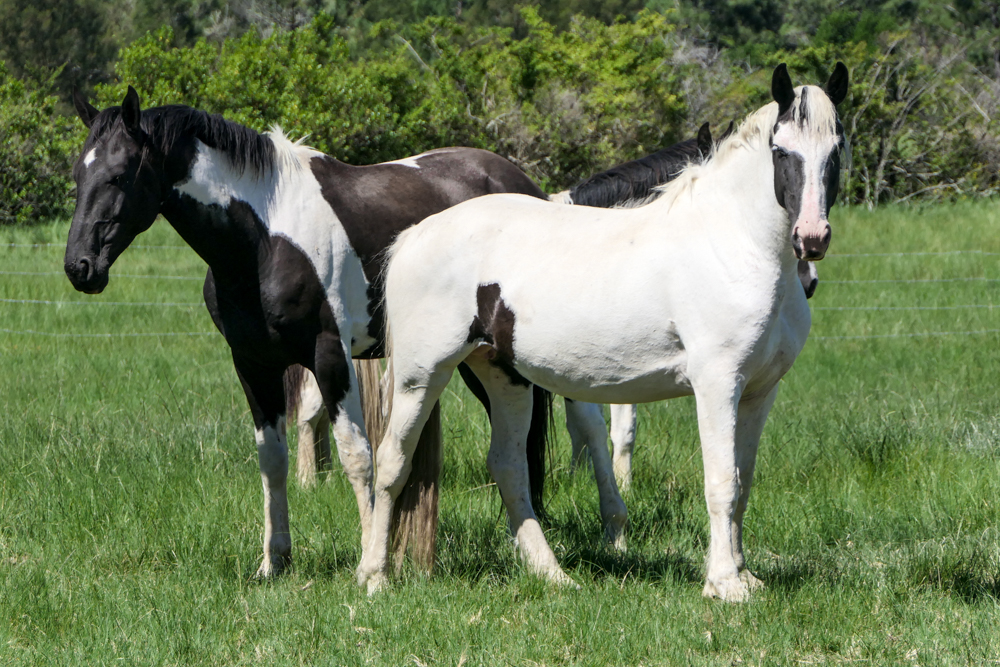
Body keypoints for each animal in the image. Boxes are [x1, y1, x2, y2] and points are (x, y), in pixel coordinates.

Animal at [64, 88, 556, 577]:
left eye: (118, 175)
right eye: (78, 175)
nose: (79, 267)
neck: (264, 241)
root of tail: (521, 182)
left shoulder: (330, 356)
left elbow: (357, 456)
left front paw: (368, 560)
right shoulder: (253, 364)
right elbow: (272, 460)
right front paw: (275, 561)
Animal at [356, 63, 848, 600]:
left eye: (836, 150)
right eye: (782, 152)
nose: (812, 239)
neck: (733, 245)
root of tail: (413, 235)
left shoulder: (759, 391)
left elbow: (743, 482)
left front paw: (744, 574)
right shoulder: (717, 385)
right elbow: (722, 482)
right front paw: (723, 584)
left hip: (504, 377)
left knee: (508, 466)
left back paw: (551, 573)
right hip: (421, 375)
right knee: (392, 463)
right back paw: (374, 576)